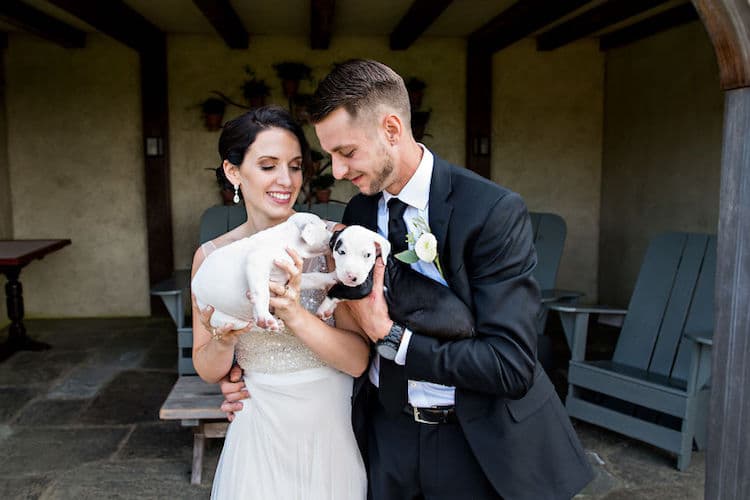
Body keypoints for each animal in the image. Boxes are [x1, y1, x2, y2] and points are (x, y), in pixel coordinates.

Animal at [194, 212, 332, 332]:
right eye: (325, 227)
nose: (335, 234)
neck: (289, 237)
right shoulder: (257, 261)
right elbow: (262, 292)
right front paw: (264, 317)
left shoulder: (288, 276)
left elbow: (314, 277)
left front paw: (332, 277)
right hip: (221, 317)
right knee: (246, 324)